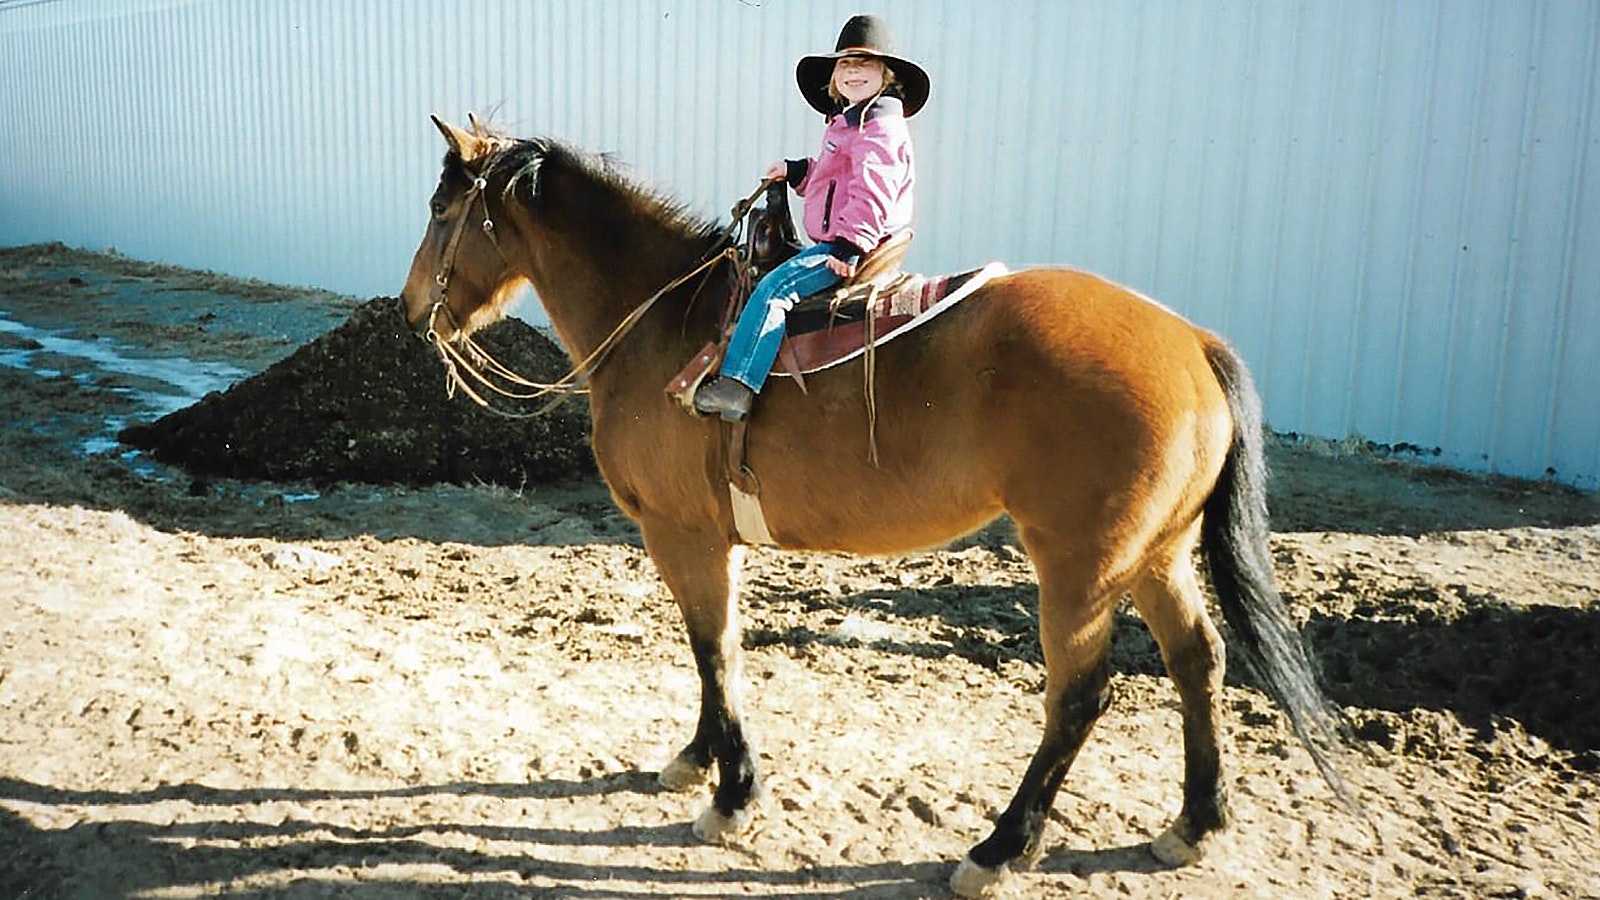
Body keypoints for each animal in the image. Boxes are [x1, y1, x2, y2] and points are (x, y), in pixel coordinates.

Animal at [400, 115, 1350, 890]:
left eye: (444, 210)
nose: (412, 311)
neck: (662, 321)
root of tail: (1191, 340)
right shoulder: (709, 541)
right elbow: (718, 649)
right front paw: (698, 759)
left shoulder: (682, 535)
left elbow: (715, 650)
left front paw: (732, 795)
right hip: (1153, 555)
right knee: (1199, 661)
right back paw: (1194, 822)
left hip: (1081, 567)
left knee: (1079, 697)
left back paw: (998, 850)